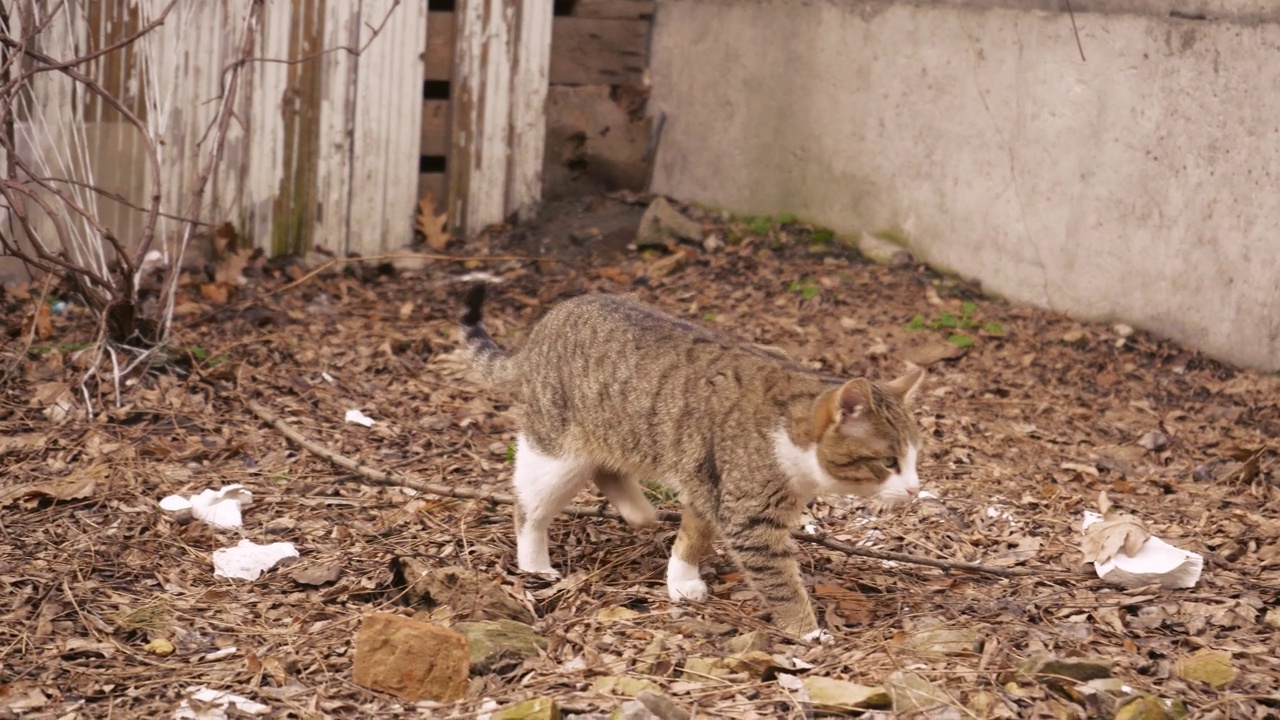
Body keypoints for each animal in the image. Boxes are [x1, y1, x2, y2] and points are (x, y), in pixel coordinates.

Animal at [460, 285, 921, 638]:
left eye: (915, 458)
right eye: (889, 461)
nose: (916, 489)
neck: (788, 429)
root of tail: (545, 325)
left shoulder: (707, 482)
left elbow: (694, 537)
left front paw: (681, 580)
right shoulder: (748, 516)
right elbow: (780, 583)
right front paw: (808, 631)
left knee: (607, 468)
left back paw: (640, 512)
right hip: (556, 454)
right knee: (529, 507)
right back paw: (535, 565)